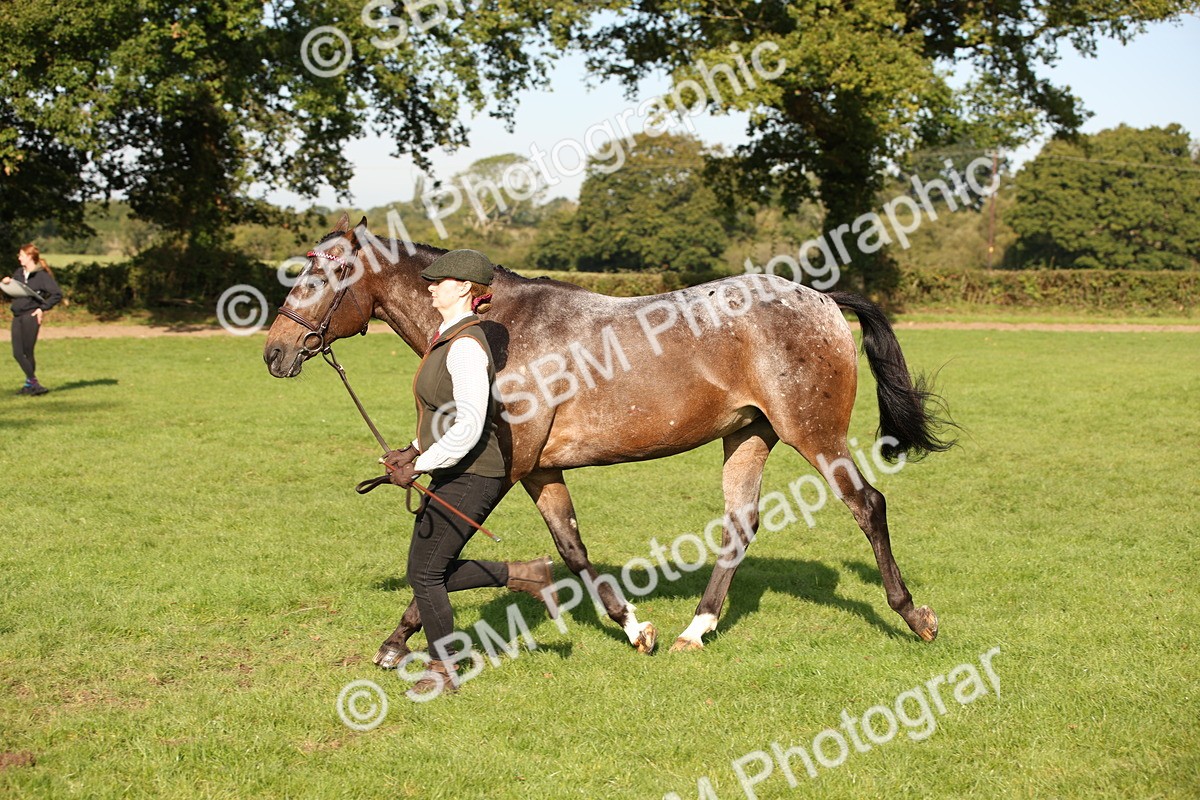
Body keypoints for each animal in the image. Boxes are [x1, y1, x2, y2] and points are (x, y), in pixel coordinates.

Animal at [263, 214, 953, 663]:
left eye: (323, 276)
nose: (275, 351)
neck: (495, 325)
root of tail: (822, 299)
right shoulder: (541, 470)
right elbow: (570, 548)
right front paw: (632, 626)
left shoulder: (504, 465)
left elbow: (441, 550)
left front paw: (394, 640)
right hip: (750, 436)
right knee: (740, 524)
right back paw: (694, 630)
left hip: (814, 433)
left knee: (867, 505)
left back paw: (914, 616)